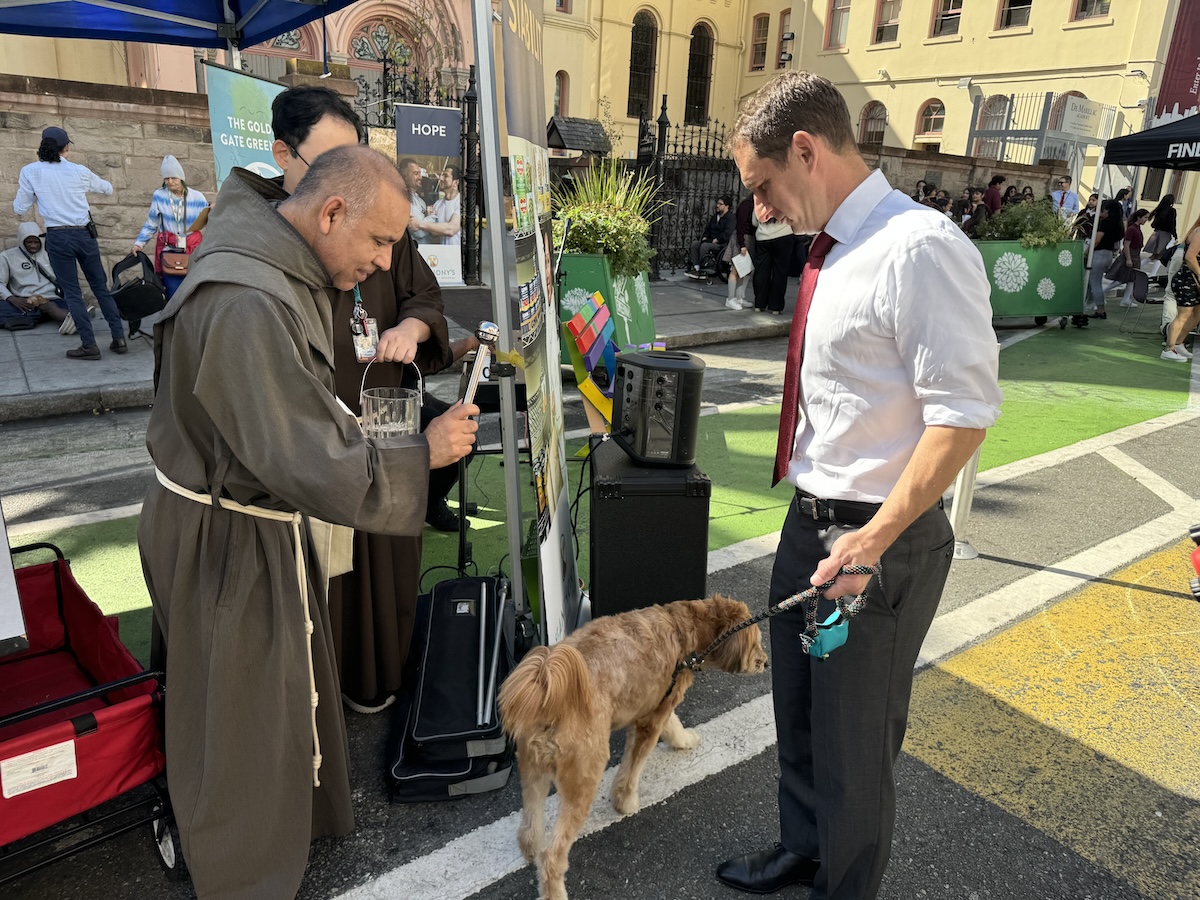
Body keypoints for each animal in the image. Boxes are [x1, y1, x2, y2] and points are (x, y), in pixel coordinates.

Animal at [496, 600, 768, 900]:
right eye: (757, 641)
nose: (766, 661)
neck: (683, 628)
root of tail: (548, 687)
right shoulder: (650, 720)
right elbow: (633, 766)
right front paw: (625, 802)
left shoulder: (659, 704)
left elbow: (673, 725)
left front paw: (684, 740)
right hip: (583, 777)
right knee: (553, 857)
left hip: (533, 769)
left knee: (529, 827)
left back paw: (531, 850)